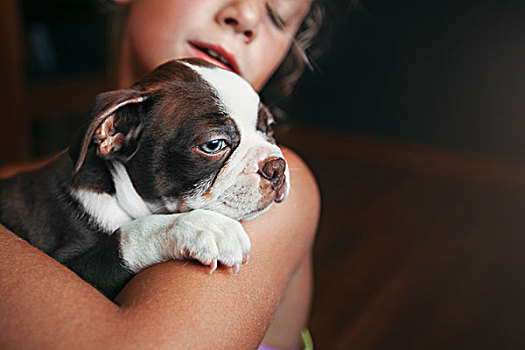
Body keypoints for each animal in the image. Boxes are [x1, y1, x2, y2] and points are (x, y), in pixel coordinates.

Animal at [0, 58, 286, 300]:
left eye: (270, 128)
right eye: (214, 145)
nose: (277, 167)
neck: (117, 193)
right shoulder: (70, 267)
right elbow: (126, 238)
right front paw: (201, 226)